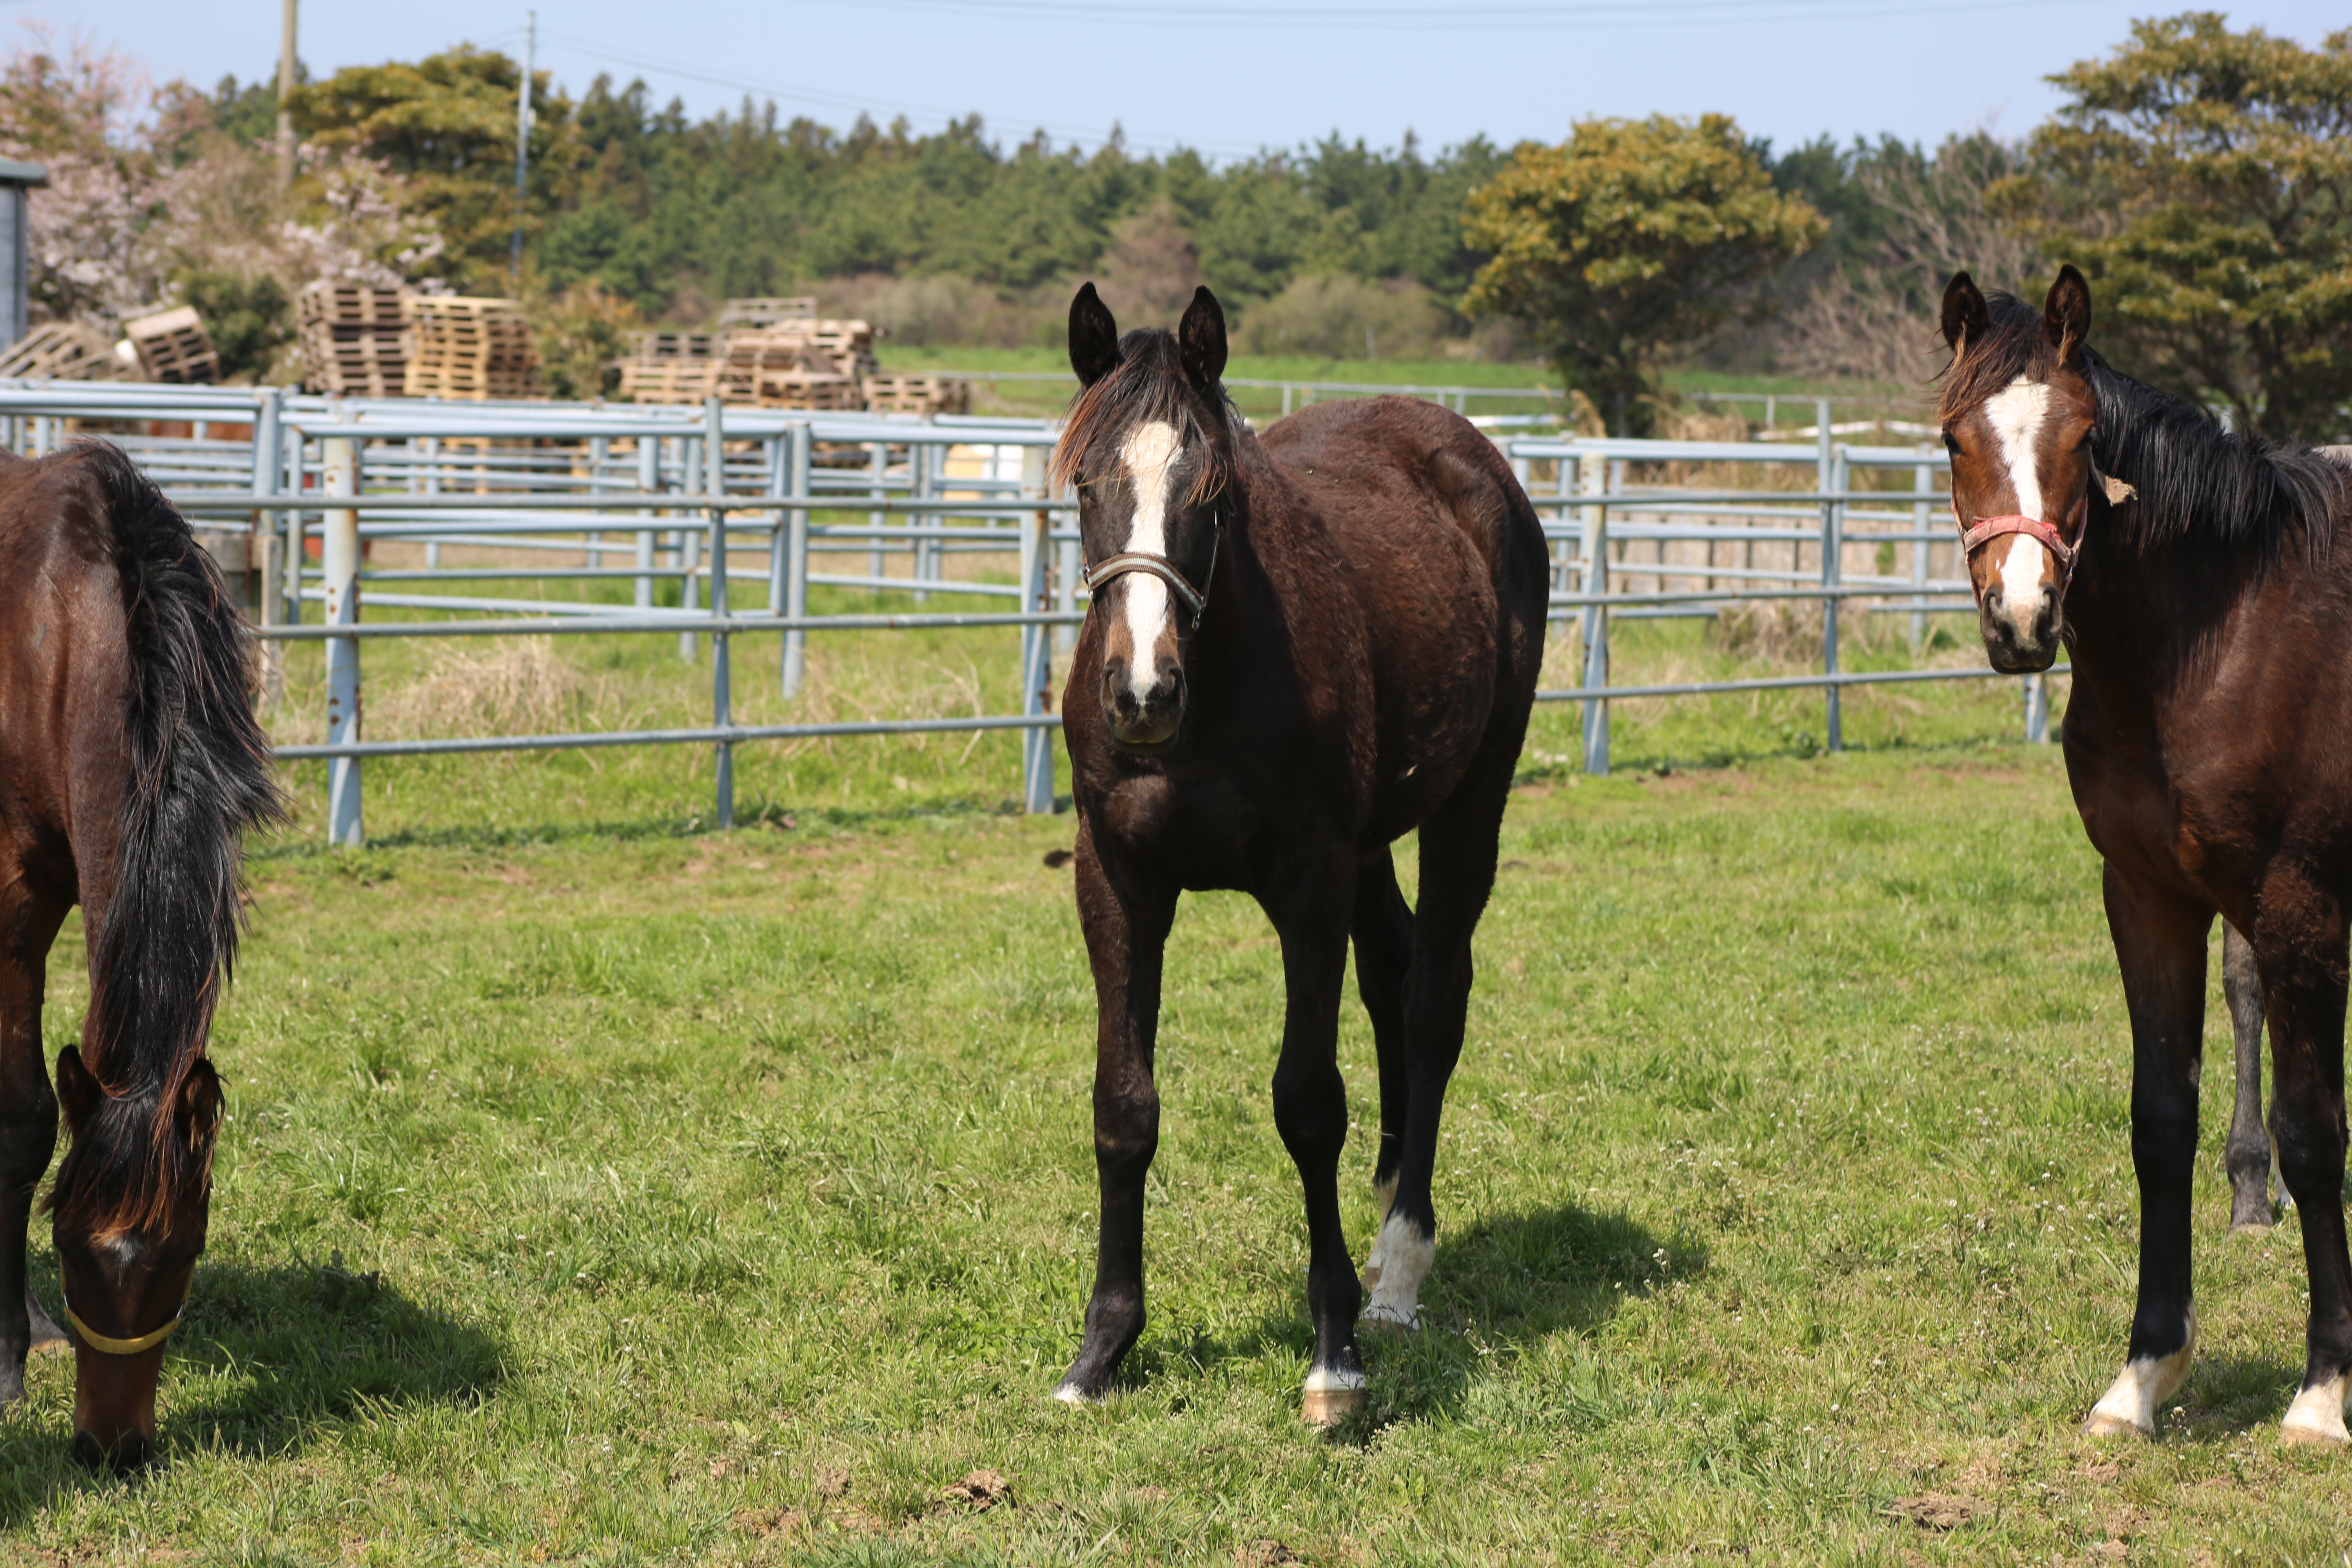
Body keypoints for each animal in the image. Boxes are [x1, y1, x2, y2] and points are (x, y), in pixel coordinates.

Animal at [1, 442, 281, 1476]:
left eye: (183, 1255)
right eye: (72, 1248)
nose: (112, 1450)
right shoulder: (14, 893)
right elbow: (22, 1118)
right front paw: (8, 1357)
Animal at [1049, 282, 1543, 1420]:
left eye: (1213, 491)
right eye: (1086, 483)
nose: (1141, 691)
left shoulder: (1306, 880)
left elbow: (1308, 1104)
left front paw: (1334, 1357)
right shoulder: (1118, 881)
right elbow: (1123, 1105)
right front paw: (1103, 1350)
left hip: (1469, 801)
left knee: (1431, 998)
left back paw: (1399, 1266)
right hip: (1371, 844)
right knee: (1392, 971)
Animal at [1938, 267, 2352, 1448]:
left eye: (2082, 439)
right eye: (1950, 439)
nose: (2022, 618)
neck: (2221, 642)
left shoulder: (2300, 904)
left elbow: (2313, 1134)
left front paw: (2322, 1390)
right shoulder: (2146, 896)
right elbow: (2159, 1123)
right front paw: (2142, 1374)